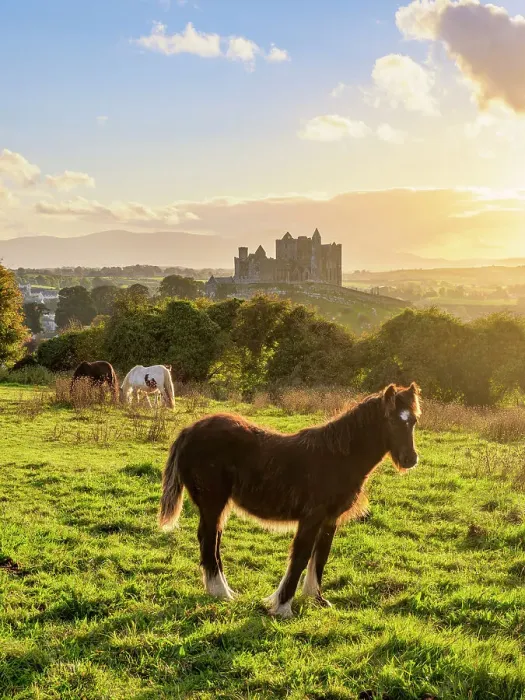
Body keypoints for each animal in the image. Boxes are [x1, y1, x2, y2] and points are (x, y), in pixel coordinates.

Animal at [159, 382, 421, 618]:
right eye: (391, 421)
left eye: (414, 421)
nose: (410, 459)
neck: (338, 459)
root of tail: (189, 430)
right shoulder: (312, 517)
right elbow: (301, 556)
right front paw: (283, 607)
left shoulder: (329, 520)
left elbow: (320, 556)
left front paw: (317, 599)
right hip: (213, 502)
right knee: (208, 539)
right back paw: (222, 593)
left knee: (213, 540)